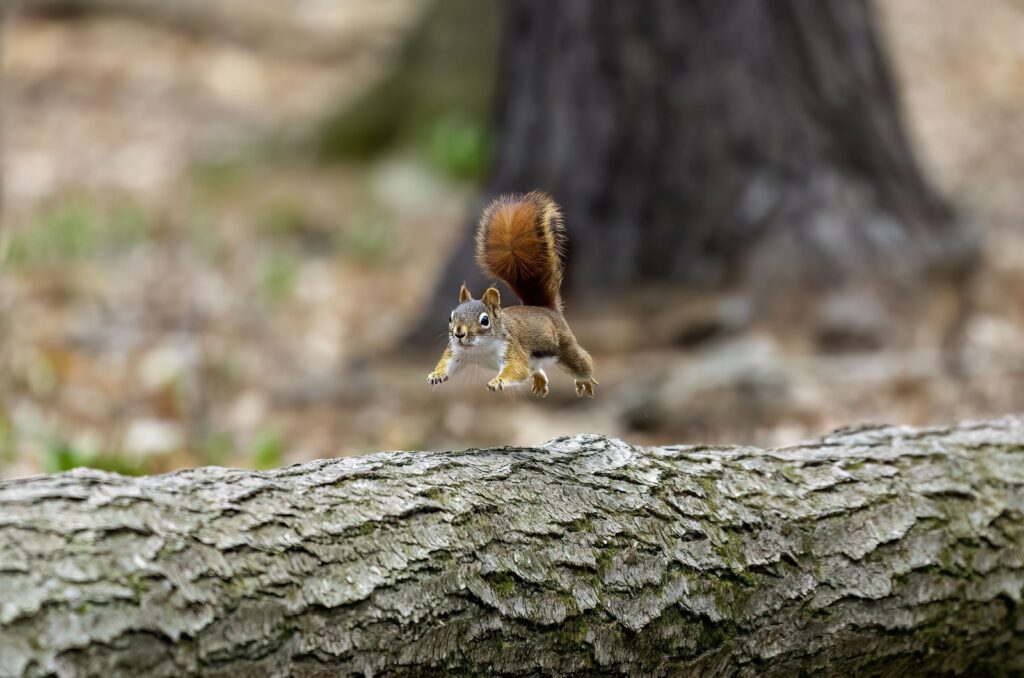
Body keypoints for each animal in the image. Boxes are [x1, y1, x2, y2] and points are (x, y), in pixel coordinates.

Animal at [425, 191, 598, 399]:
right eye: (450, 317)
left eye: (485, 320)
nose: (459, 333)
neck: (479, 349)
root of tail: (546, 309)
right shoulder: (456, 352)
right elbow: (447, 362)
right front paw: (437, 374)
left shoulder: (513, 350)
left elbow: (517, 369)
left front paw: (498, 381)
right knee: (536, 369)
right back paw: (540, 381)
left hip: (566, 348)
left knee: (583, 363)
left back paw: (586, 381)